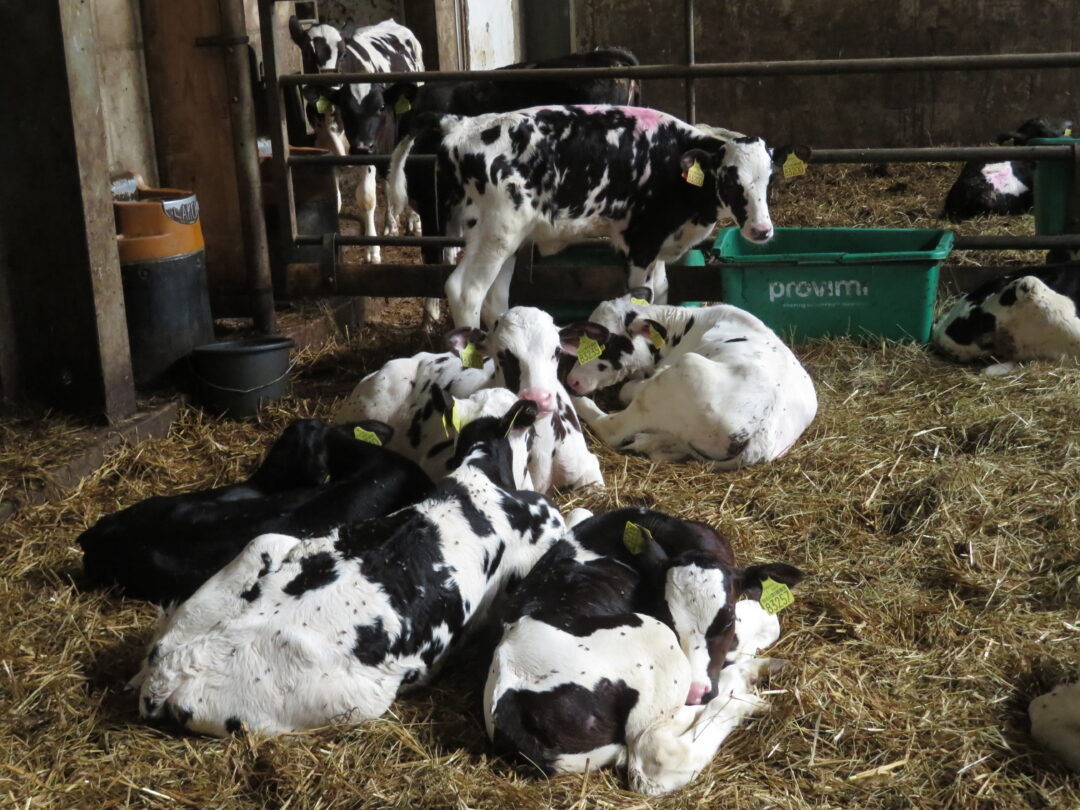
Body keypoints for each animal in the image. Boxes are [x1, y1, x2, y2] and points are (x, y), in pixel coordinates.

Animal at [389, 105, 784, 328]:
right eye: (729, 179)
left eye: (769, 178)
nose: (762, 230)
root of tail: (461, 124)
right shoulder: (638, 240)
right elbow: (643, 298)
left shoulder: (656, 243)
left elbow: (662, 293)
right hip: (496, 231)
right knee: (466, 291)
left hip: (503, 238)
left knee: (494, 298)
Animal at [485, 507, 801, 793]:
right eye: (666, 614)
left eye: (725, 622)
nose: (697, 692)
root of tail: (511, 705)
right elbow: (769, 620)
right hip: (654, 641)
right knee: (656, 753)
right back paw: (743, 696)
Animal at [558, 290, 818, 467]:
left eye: (606, 345)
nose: (573, 381)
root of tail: (759, 436)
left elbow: (627, 390)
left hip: (684, 371)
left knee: (613, 428)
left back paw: (575, 400)